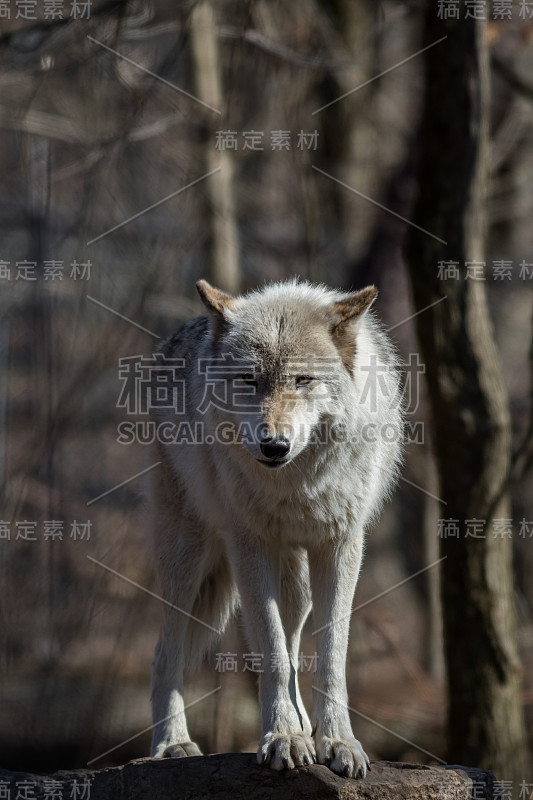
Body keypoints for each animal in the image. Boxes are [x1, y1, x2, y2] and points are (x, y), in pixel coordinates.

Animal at [148, 278, 402, 780]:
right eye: (249, 380)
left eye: (302, 380)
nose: (274, 445)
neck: (295, 483)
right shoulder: (250, 546)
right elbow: (272, 653)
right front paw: (282, 738)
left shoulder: (341, 546)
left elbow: (328, 659)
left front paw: (336, 743)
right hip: (188, 559)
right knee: (166, 654)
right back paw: (172, 744)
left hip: (296, 580)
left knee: (295, 633)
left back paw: (304, 725)